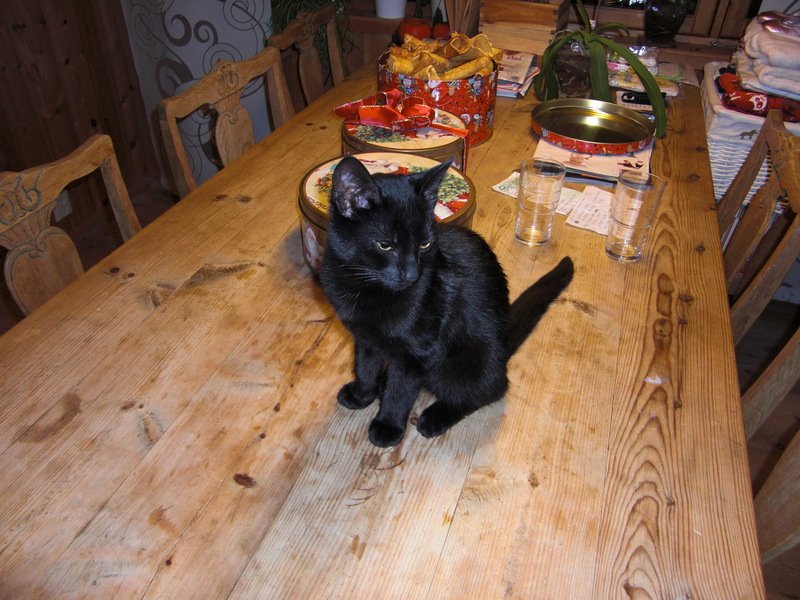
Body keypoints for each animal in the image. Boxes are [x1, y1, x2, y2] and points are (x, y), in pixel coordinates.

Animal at [320, 156, 574, 447]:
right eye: (385, 246)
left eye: (424, 244)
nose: (413, 274)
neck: (363, 285)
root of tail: (503, 347)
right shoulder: (365, 336)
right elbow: (364, 365)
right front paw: (363, 395)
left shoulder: (417, 351)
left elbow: (401, 390)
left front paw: (388, 426)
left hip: (468, 361)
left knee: (488, 389)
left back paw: (435, 417)